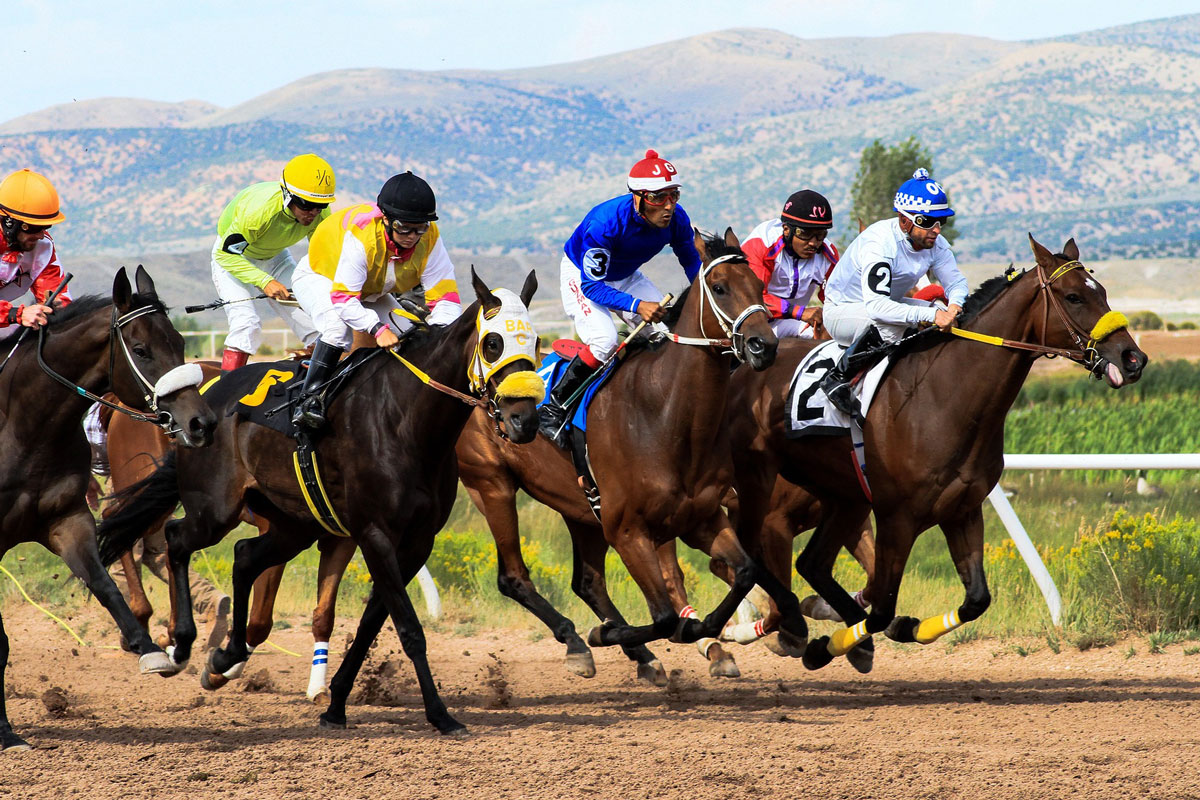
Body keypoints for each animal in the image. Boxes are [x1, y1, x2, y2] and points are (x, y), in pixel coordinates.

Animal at [0, 267, 214, 753]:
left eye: (180, 341)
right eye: (141, 348)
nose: (201, 422)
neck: (24, 426)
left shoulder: (67, 521)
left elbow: (105, 585)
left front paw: (151, 650)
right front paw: (4, 732)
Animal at [96, 271, 542, 738]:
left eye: (535, 342)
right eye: (493, 343)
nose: (524, 421)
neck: (406, 418)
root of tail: (201, 404)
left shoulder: (415, 542)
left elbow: (369, 626)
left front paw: (336, 703)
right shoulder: (374, 534)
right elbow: (409, 628)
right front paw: (440, 714)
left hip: (292, 524)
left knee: (244, 556)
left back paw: (225, 655)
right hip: (215, 509)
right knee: (176, 538)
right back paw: (180, 642)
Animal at [724, 236, 1147, 671]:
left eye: (1103, 292)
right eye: (1074, 296)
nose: (1133, 358)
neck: (944, 396)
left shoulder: (962, 510)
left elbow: (976, 600)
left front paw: (900, 630)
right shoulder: (896, 518)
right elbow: (882, 609)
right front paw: (825, 644)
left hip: (845, 499)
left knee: (812, 563)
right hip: (768, 492)